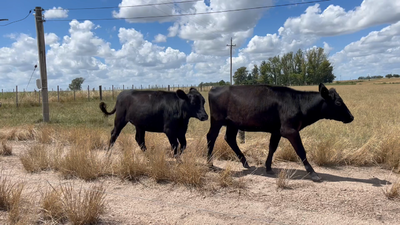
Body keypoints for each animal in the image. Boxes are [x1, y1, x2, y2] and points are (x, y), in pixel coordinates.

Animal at [206, 83, 354, 181]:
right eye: (338, 103)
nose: (351, 117)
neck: (299, 103)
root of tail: (215, 88)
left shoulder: (276, 131)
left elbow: (272, 148)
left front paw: (268, 168)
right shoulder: (290, 130)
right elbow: (301, 151)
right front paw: (313, 173)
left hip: (233, 123)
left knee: (230, 138)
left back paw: (245, 162)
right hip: (217, 120)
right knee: (211, 137)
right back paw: (210, 164)